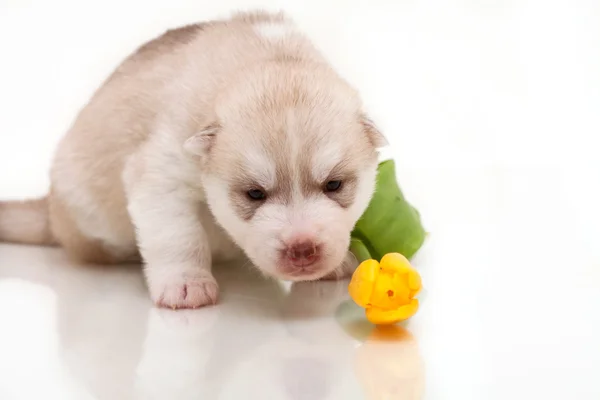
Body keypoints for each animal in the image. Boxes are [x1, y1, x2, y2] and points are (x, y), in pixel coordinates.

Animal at [0, 10, 384, 308]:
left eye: (334, 185)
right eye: (254, 194)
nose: (302, 249)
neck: (269, 59)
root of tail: (51, 209)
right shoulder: (161, 173)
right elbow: (177, 235)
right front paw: (184, 283)